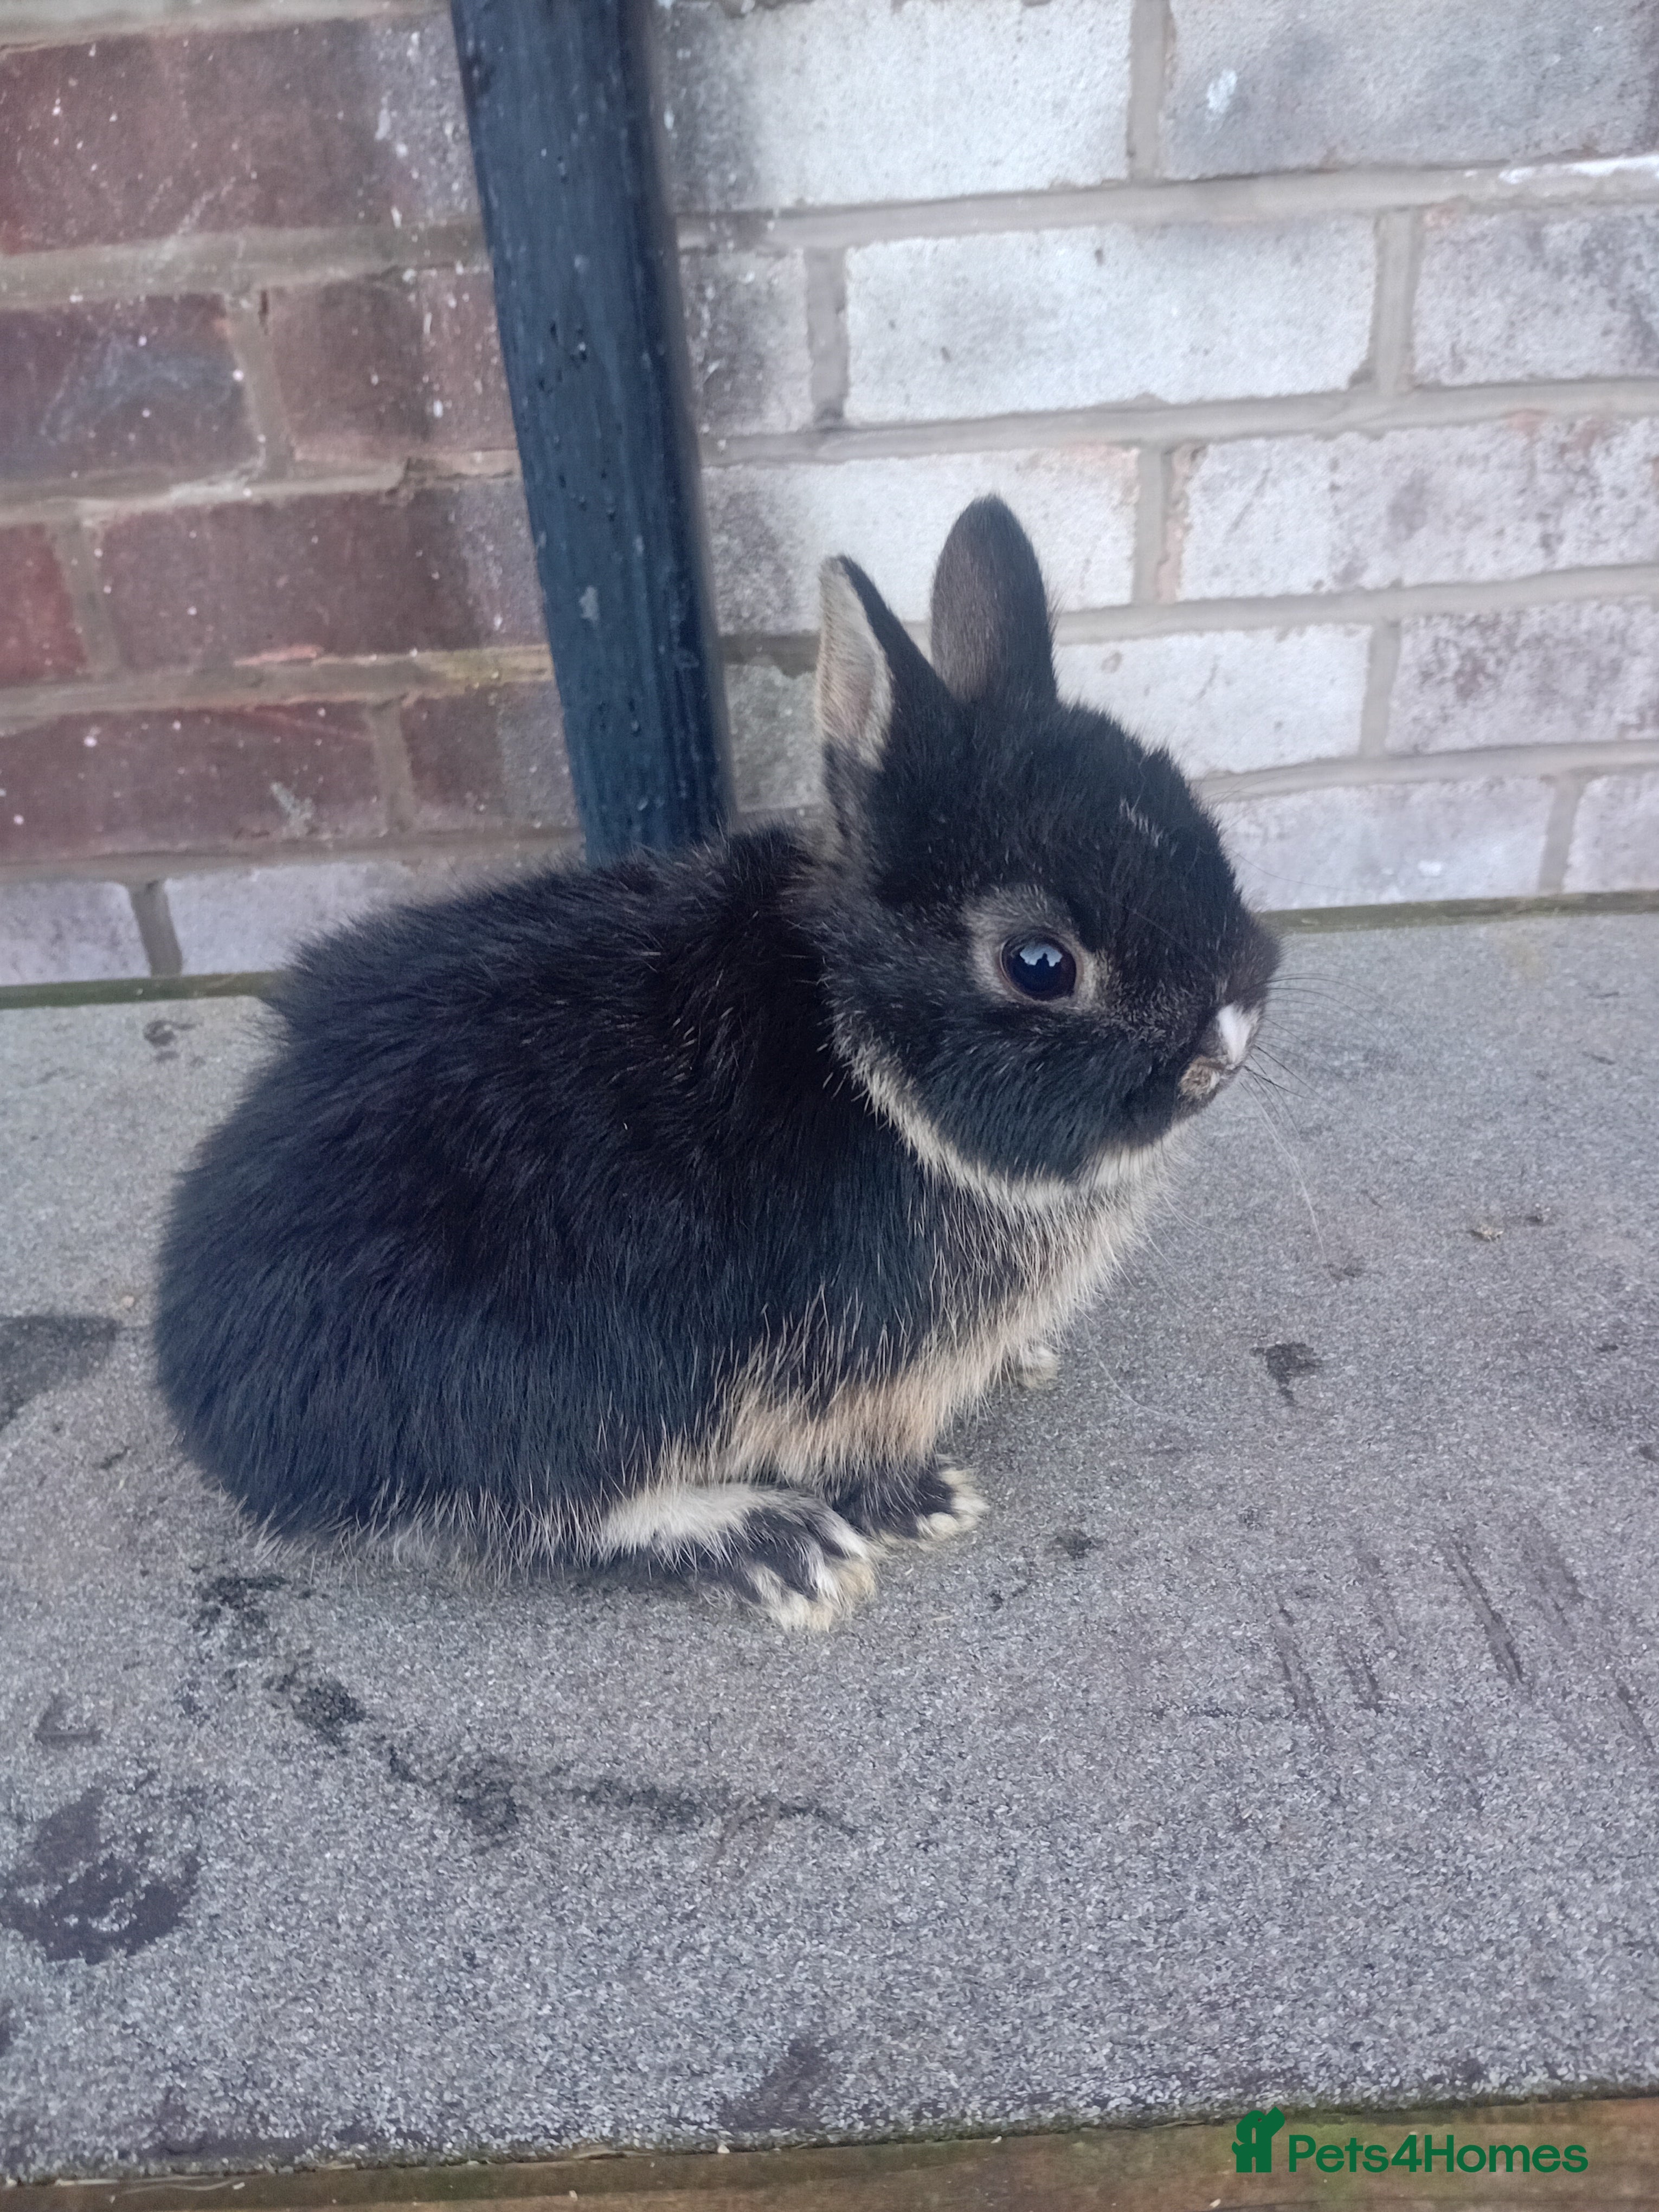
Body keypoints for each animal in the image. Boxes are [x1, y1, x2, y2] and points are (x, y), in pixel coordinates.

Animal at [154, 497, 1278, 1629]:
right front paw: (928, 1505)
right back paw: (776, 1543)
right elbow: (858, 1457)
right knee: (563, 1511)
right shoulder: (853, 1379)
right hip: (566, 1384)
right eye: (1040, 965)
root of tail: (225, 1410)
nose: (1227, 1040)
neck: (858, 1050)